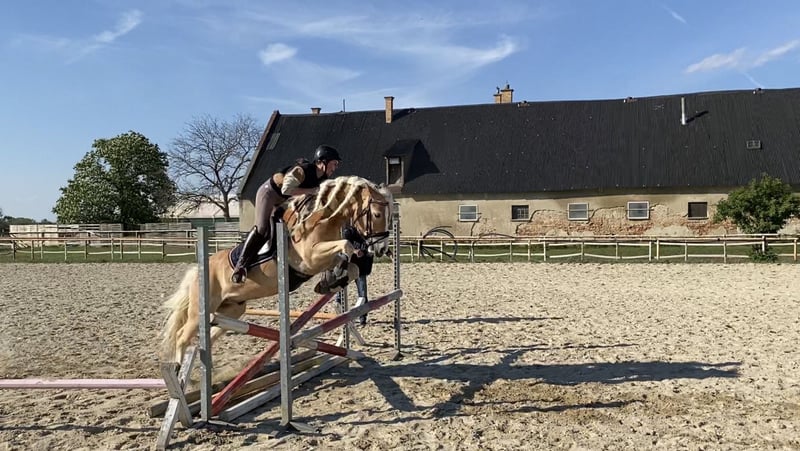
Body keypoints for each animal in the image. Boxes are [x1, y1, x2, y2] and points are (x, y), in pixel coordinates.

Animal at [159, 175, 395, 365]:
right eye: (376, 214)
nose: (382, 248)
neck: (321, 219)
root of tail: (197, 271)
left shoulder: (321, 258)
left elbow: (351, 264)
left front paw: (332, 280)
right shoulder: (309, 258)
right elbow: (346, 246)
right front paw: (336, 275)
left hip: (232, 309)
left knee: (213, 330)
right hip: (201, 310)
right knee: (182, 336)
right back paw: (178, 373)